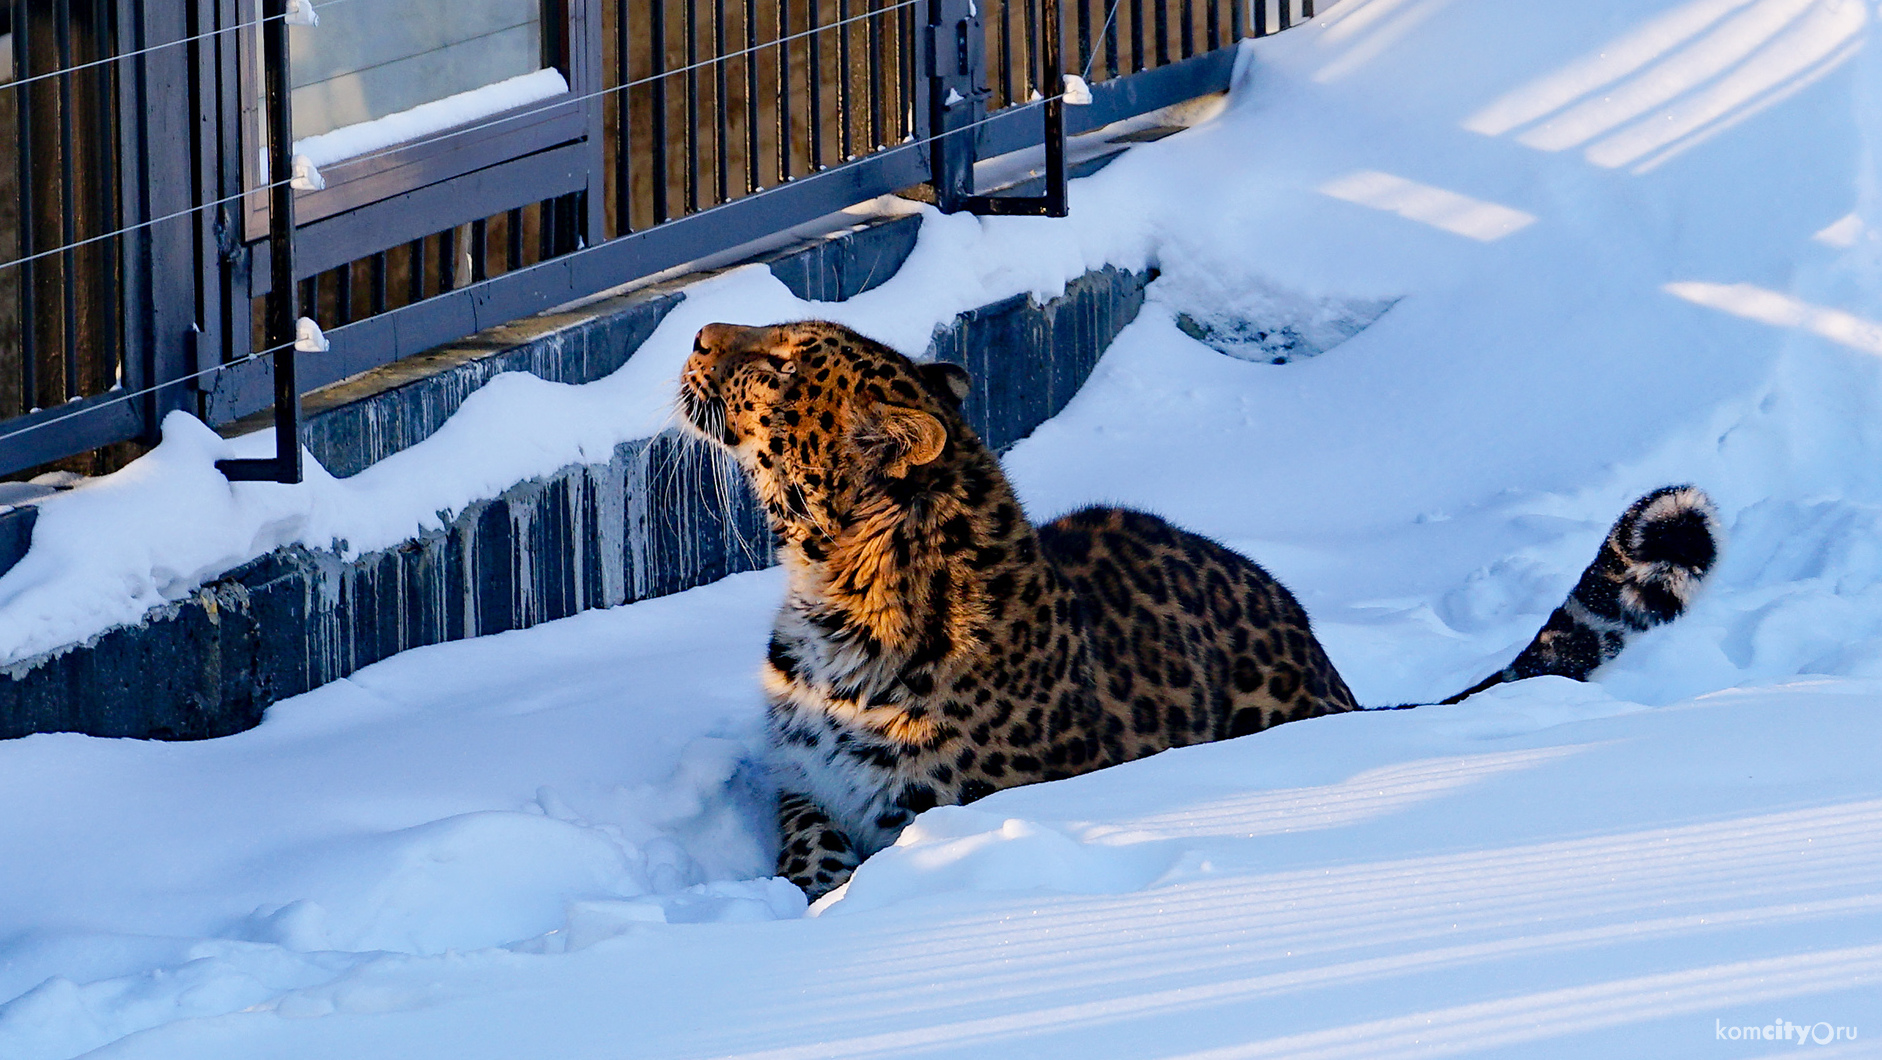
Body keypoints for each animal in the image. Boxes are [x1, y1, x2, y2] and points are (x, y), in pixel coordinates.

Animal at [677, 320, 1723, 899]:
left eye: (783, 363)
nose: (698, 336)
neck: (832, 595)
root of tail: (1334, 680)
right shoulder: (805, 782)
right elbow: (808, 843)